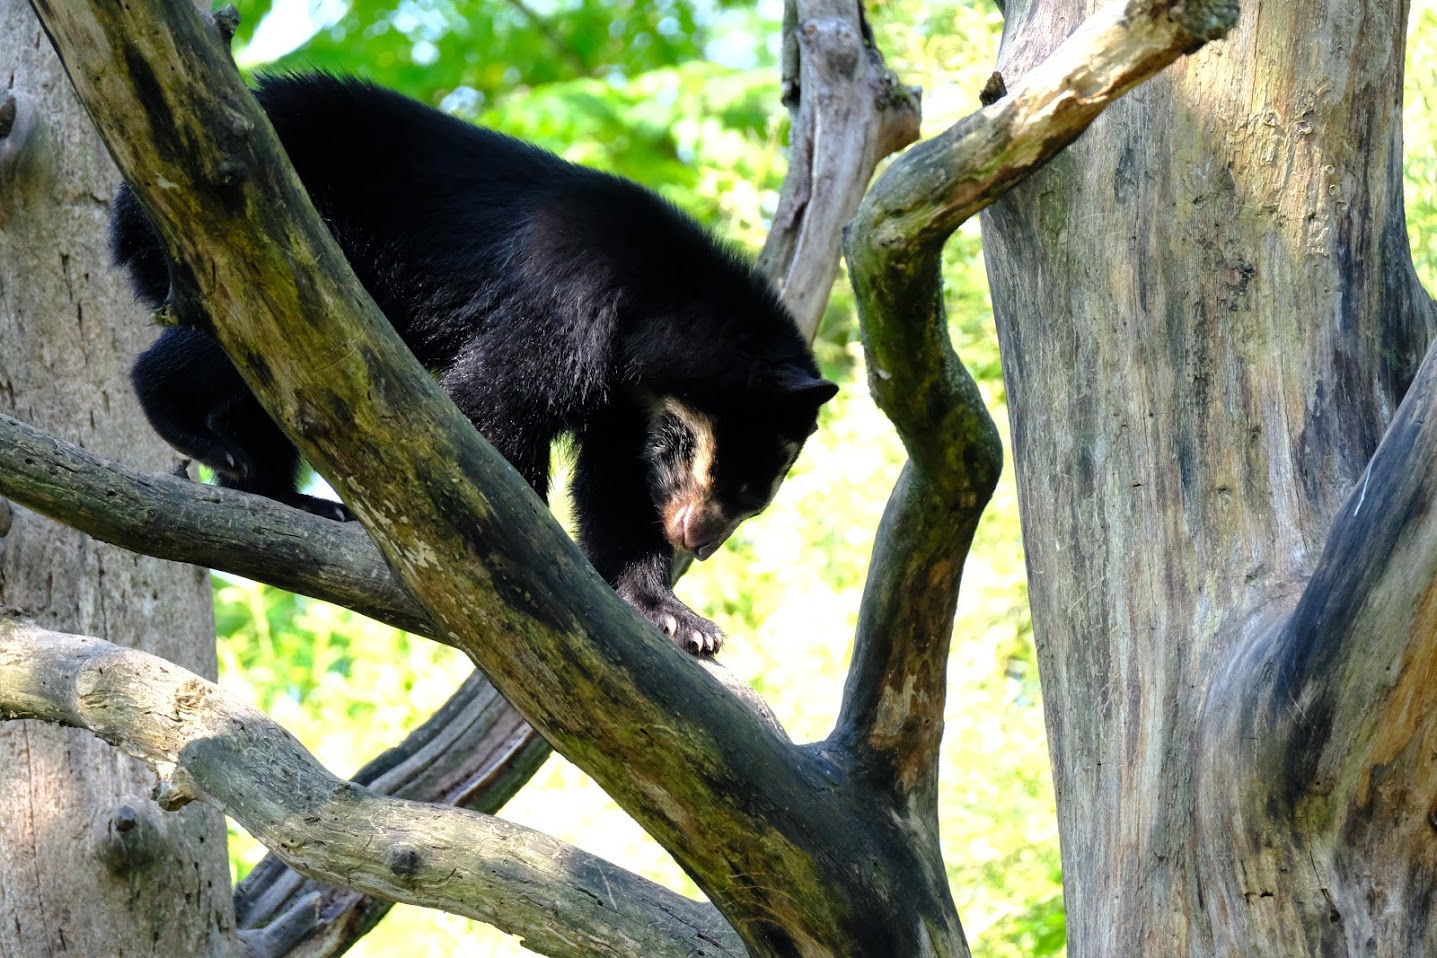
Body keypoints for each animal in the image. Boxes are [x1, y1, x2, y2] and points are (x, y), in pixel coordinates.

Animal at [111, 73, 836, 655]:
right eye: (742, 488)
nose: (698, 542)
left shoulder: (626, 401)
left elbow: (618, 486)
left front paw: (677, 617)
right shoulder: (566, 306)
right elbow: (497, 403)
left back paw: (288, 496)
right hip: (267, 237)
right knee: (228, 330)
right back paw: (187, 424)